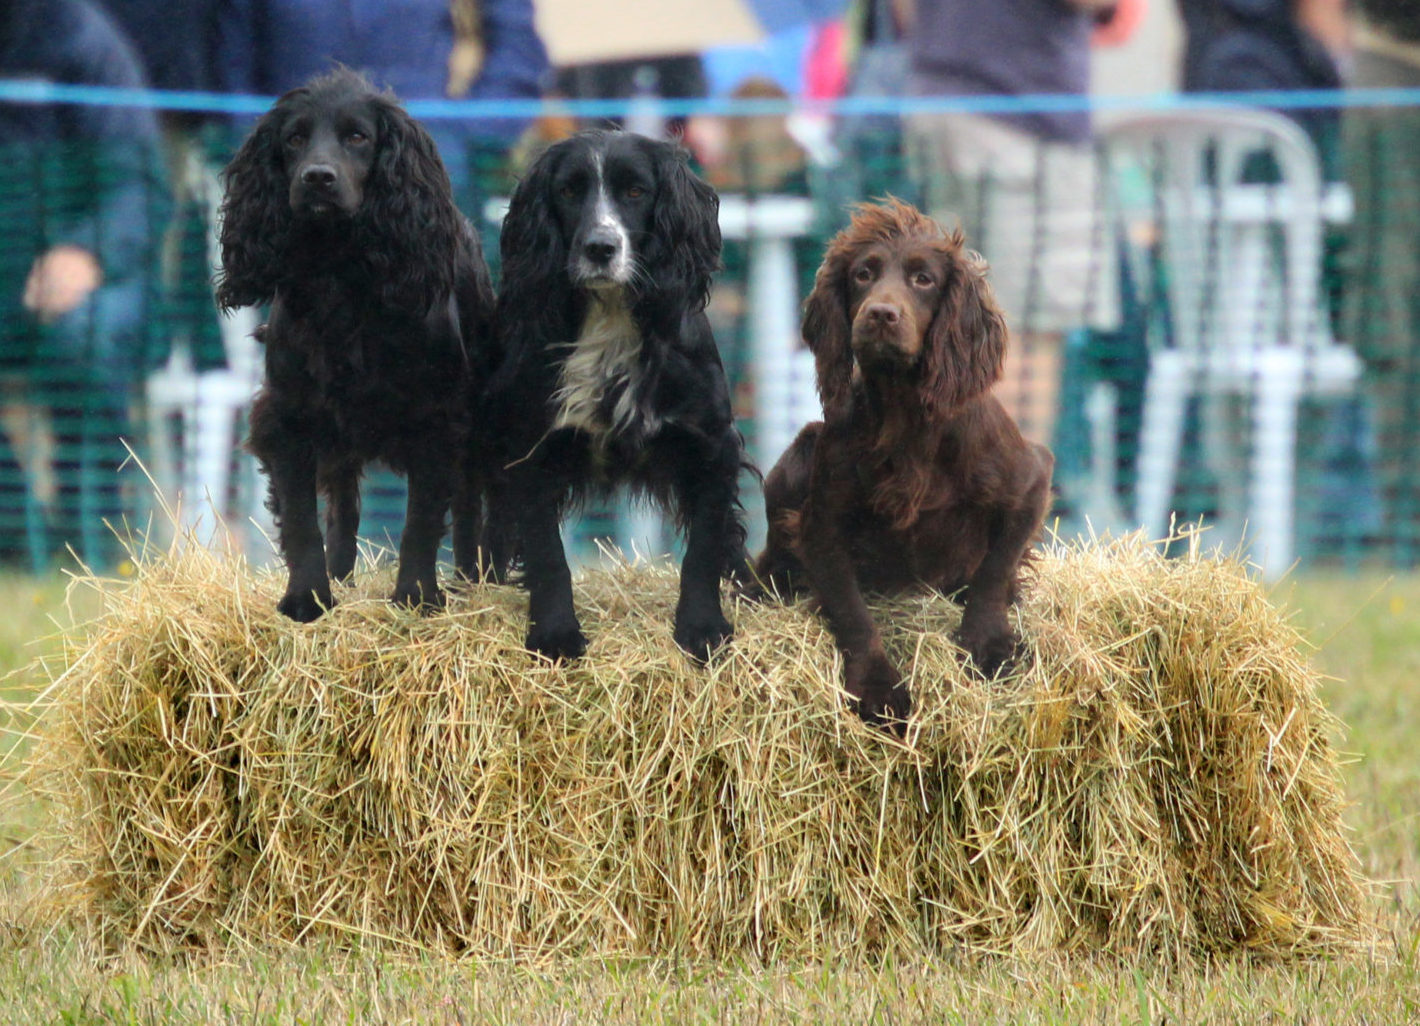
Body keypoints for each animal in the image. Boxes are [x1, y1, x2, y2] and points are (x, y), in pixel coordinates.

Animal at [213, 72, 497, 621]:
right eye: (294, 139)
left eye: (358, 137)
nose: (317, 178)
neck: (340, 275)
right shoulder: (291, 417)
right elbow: (303, 520)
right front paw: (307, 599)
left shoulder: (438, 420)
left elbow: (421, 522)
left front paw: (416, 598)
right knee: (344, 503)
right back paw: (342, 573)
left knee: (470, 505)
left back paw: (472, 581)